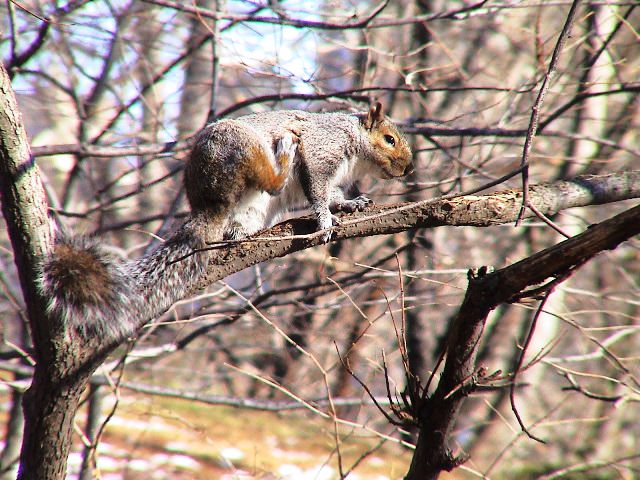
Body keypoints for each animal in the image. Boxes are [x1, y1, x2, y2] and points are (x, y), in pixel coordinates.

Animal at [37, 102, 416, 342]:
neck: (355, 150)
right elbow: (318, 190)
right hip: (239, 148)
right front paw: (324, 218)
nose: (409, 168)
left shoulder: (337, 176)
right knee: (271, 180)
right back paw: (283, 153)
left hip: (253, 209)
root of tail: (208, 204)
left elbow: (336, 194)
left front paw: (351, 202)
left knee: (240, 224)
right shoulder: (322, 150)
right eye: (390, 140)